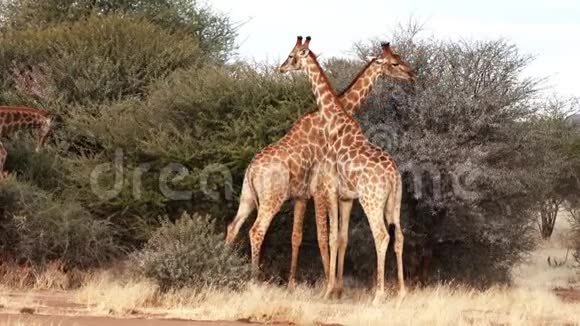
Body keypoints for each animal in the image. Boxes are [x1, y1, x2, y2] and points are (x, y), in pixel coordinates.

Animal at [224, 37, 414, 290]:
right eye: (395, 63)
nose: (412, 74)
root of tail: (251, 170)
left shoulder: (307, 196)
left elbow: (307, 237)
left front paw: (303, 284)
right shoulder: (318, 191)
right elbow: (324, 237)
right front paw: (327, 284)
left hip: (247, 196)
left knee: (233, 226)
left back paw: (225, 269)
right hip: (272, 197)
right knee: (256, 230)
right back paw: (254, 280)